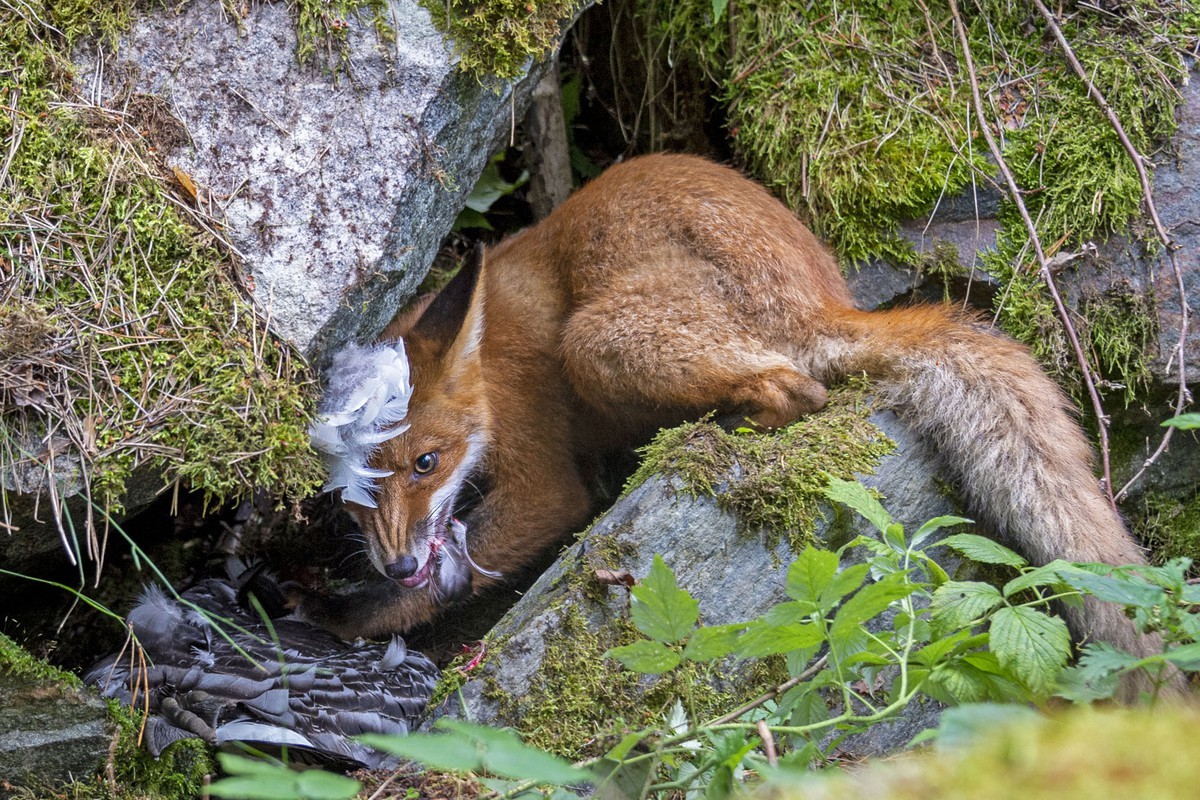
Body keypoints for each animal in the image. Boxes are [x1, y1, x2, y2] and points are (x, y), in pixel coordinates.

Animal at [297, 152, 1159, 671]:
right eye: (354, 492)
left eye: (427, 462)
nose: (396, 561)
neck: (494, 368)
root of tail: (825, 298)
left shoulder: (546, 479)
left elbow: (452, 572)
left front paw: (344, 615)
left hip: (599, 341)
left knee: (798, 390)